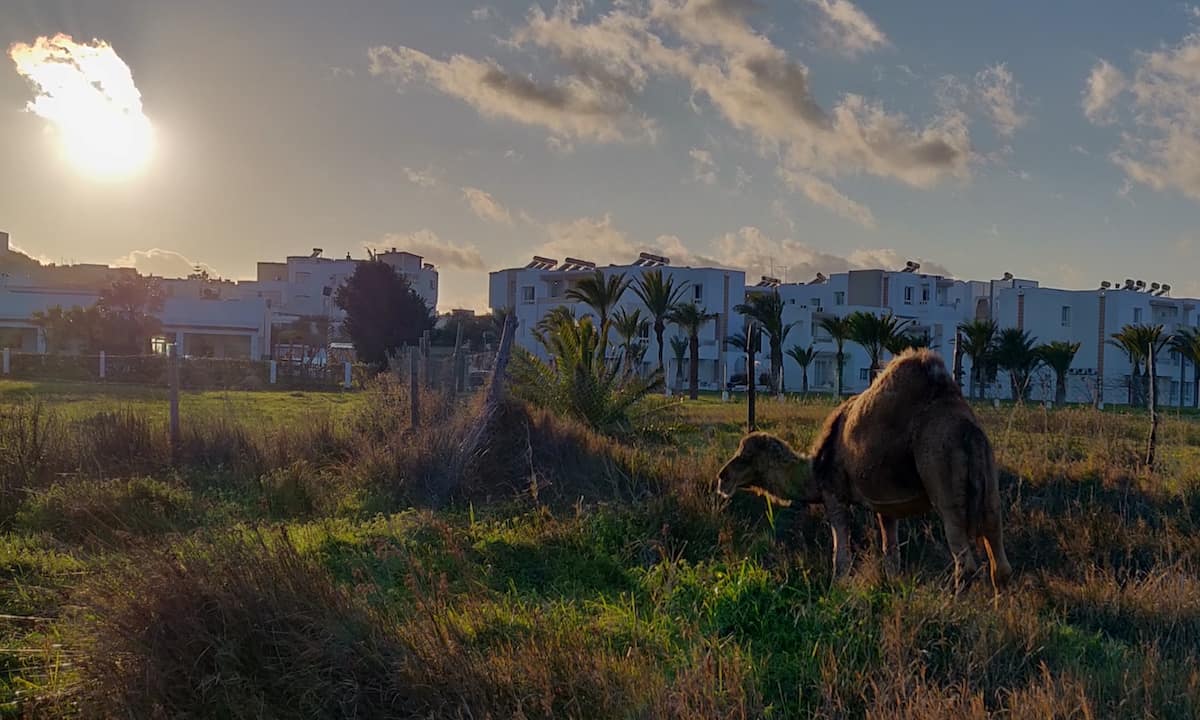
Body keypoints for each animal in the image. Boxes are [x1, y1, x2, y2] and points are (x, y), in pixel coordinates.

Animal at [710, 348, 1012, 590]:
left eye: (745, 456)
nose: (722, 478)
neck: (816, 468)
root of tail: (970, 432)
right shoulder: (886, 506)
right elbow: (891, 555)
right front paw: (891, 588)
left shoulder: (833, 494)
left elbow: (841, 556)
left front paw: (837, 589)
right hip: (989, 482)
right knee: (1000, 563)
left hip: (942, 477)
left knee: (966, 563)